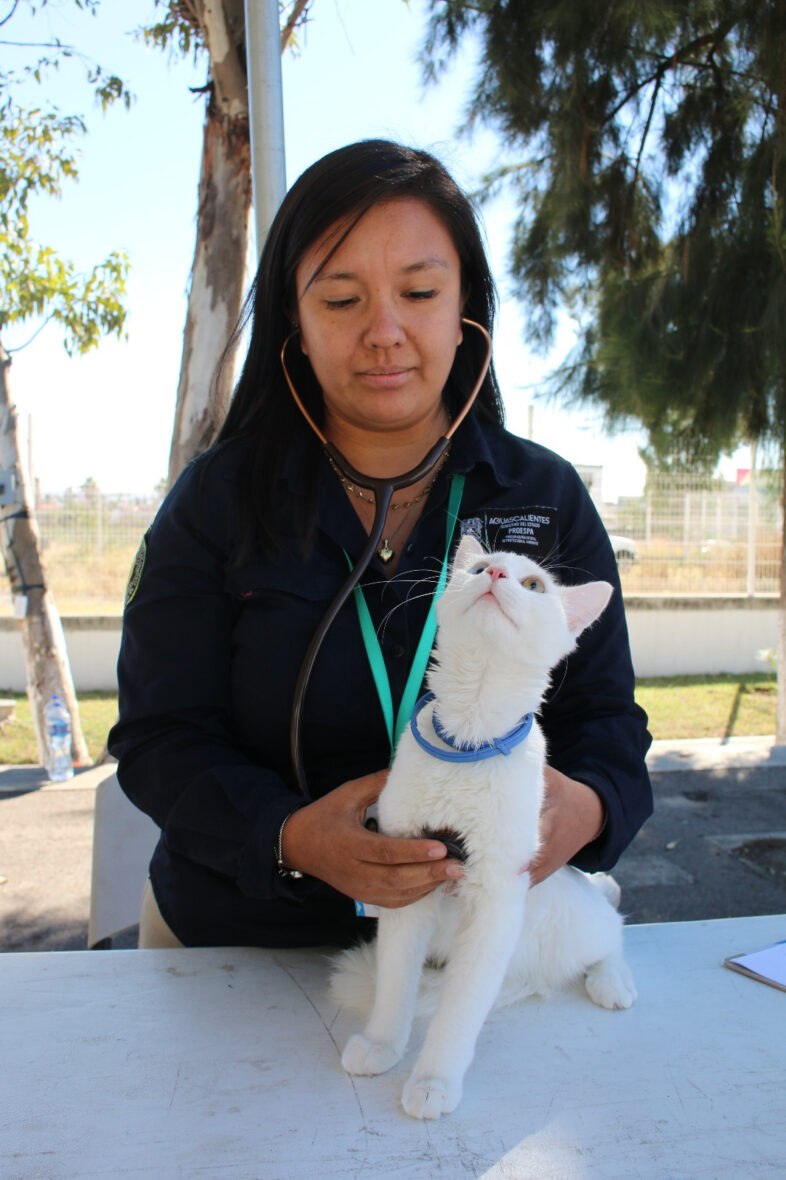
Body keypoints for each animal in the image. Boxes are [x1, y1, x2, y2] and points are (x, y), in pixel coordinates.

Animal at [332, 535, 637, 1113]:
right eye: (477, 569)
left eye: (534, 584)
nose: (494, 573)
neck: (467, 739)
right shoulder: (409, 884)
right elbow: (394, 982)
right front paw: (383, 1043)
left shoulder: (497, 899)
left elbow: (461, 1011)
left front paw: (434, 1081)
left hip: (575, 926)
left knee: (614, 928)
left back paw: (613, 980)